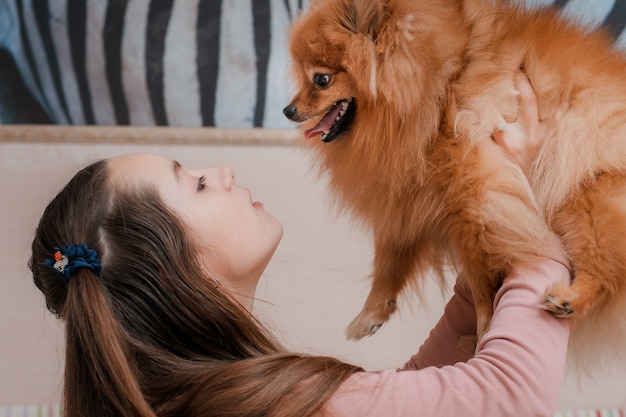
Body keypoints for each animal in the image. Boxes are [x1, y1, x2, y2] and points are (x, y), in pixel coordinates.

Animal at [286, 0, 624, 366]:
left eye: (321, 79)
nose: (287, 110)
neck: (438, 85)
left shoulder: (475, 199)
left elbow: (480, 281)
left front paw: (487, 329)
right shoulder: (409, 196)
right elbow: (389, 259)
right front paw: (371, 313)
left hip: (588, 202)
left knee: (604, 272)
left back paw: (569, 299)